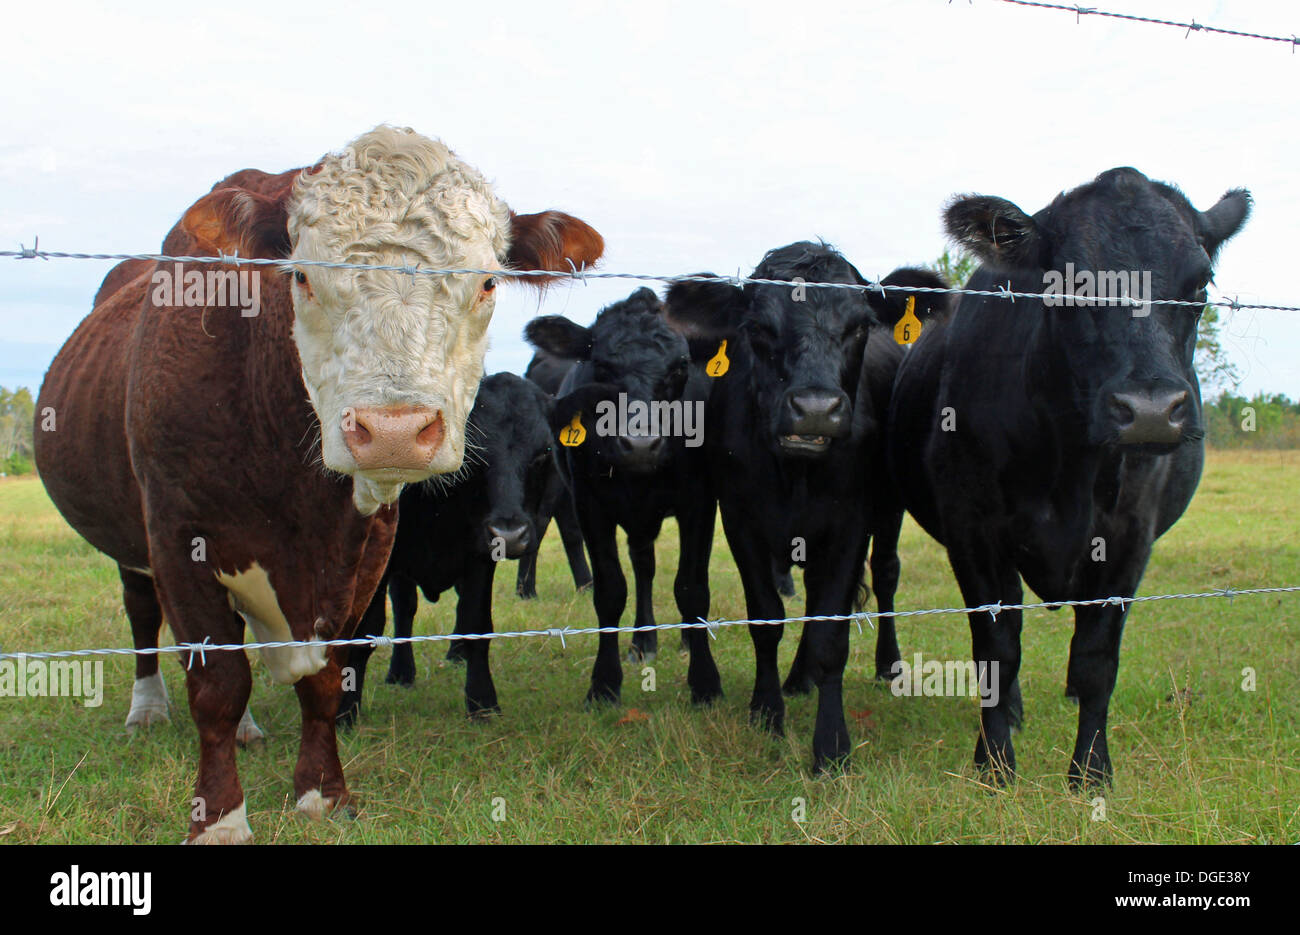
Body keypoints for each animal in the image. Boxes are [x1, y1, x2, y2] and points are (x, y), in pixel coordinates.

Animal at [338, 371, 556, 723]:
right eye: (474, 452)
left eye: (544, 452)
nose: (509, 534)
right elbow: (366, 631)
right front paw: (345, 712)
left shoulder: (479, 558)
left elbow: (477, 623)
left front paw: (482, 701)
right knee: (404, 608)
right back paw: (401, 672)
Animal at [527, 288, 728, 707]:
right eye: (601, 366)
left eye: (680, 367)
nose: (639, 445)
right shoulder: (588, 504)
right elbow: (610, 591)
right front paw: (603, 684)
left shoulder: (699, 501)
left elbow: (692, 587)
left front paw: (705, 682)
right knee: (643, 567)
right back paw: (643, 642)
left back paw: (685, 639)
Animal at [665, 243, 951, 775]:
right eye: (758, 327)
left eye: (859, 325)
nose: (816, 409)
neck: (794, 474)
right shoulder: (740, 520)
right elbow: (767, 618)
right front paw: (766, 710)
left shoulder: (850, 524)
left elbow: (830, 636)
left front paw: (832, 744)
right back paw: (797, 679)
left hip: (888, 512)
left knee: (885, 574)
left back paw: (885, 663)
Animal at [894, 170, 1248, 790]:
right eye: (1071, 282)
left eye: (1199, 284)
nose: (1150, 410)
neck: (1071, 466)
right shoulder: (973, 532)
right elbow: (996, 649)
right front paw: (995, 765)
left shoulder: (1130, 539)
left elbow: (1096, 660)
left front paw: (1090, 772)